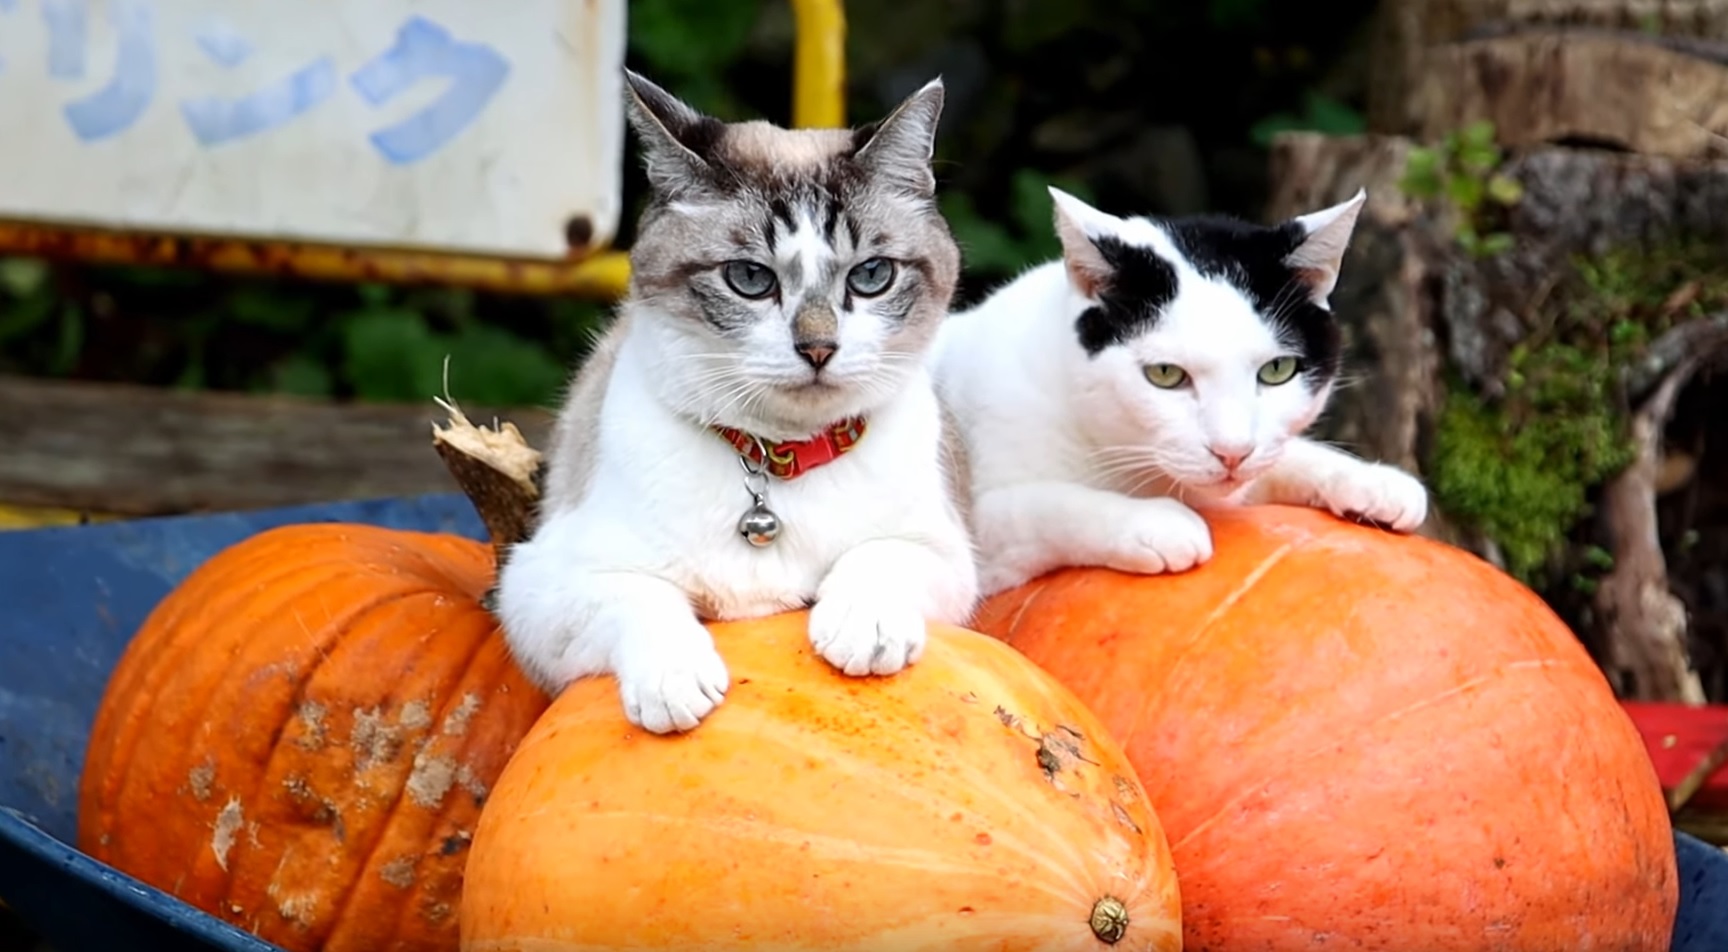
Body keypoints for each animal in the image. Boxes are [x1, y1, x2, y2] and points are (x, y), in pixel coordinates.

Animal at [501, 70, 981, 732]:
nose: (818, 348)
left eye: (871, 276)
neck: (778, 458)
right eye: (751, 280)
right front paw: (675, 684)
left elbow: (883, 554)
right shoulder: (536, 586)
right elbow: (641, 595)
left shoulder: (949, 556)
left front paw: (864, 629)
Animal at [933, 186, 1430, 594]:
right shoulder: (979, 535)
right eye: (1166, 375)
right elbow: (1041, 505)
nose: (1232, 453)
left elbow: (1286, 458)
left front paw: (1372, 481)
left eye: (1277, 370)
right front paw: (1154, 521)